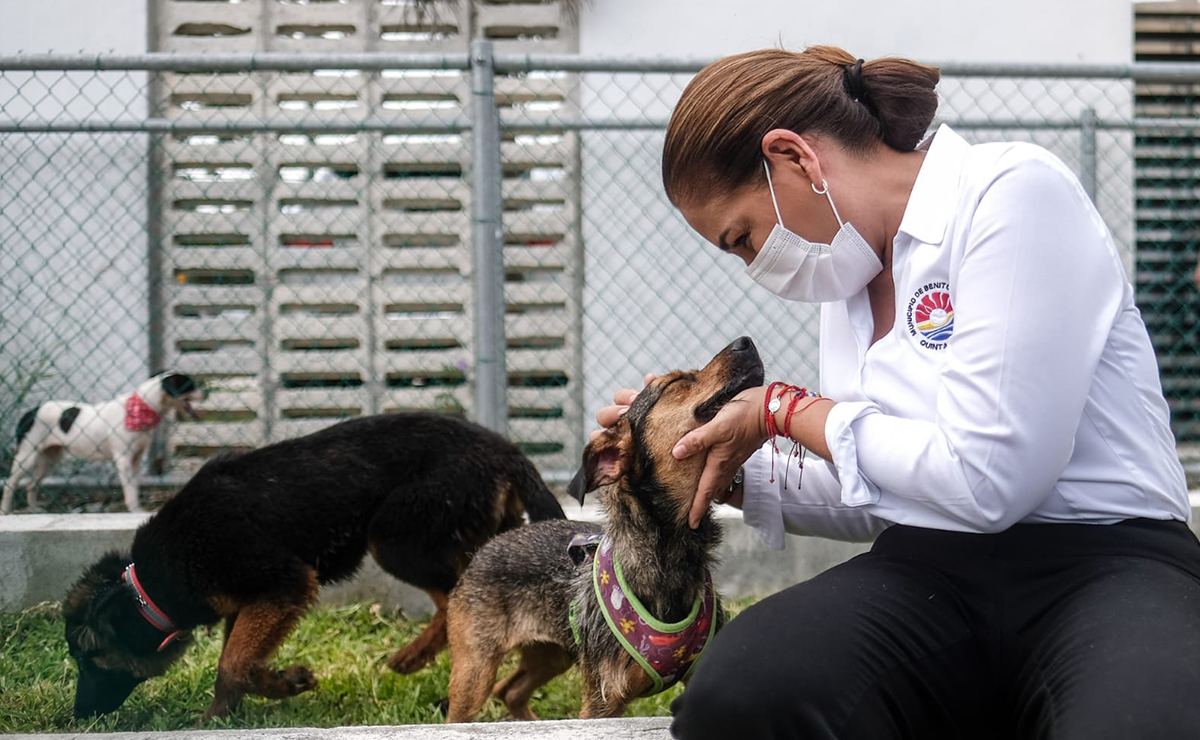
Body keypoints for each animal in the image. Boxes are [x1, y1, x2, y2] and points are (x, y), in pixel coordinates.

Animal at [2, 372, 205, 515]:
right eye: (190, 385)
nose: (207, 391)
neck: (140, 409)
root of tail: (31, 412)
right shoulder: (123, 459)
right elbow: (129, 489)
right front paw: (135, 511)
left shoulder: (136, 459)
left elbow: (135, 486)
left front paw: (136, 508)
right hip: (27, 456)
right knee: (10, 483)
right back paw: (5, 510)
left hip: (50, 459)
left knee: (31, 484)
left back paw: (34, 509)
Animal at [62, 411, 566, 720]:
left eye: (90, 661)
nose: (79, 715)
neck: (149, 587)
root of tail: (502, 448)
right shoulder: (248, 604)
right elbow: (237, 661)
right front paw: (248, 701)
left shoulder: (286, 582)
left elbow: (233, 663)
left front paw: (243, 704)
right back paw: (415, 658)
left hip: (392, 539)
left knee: (455, 598)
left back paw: (419, 661)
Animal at [444, 336, 764, 721]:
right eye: (674, 383)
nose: (746, 341)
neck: (670, 549)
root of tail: (491, 545)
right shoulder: (601, 701)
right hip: (474, 670)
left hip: (553, 653)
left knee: (511, 690)